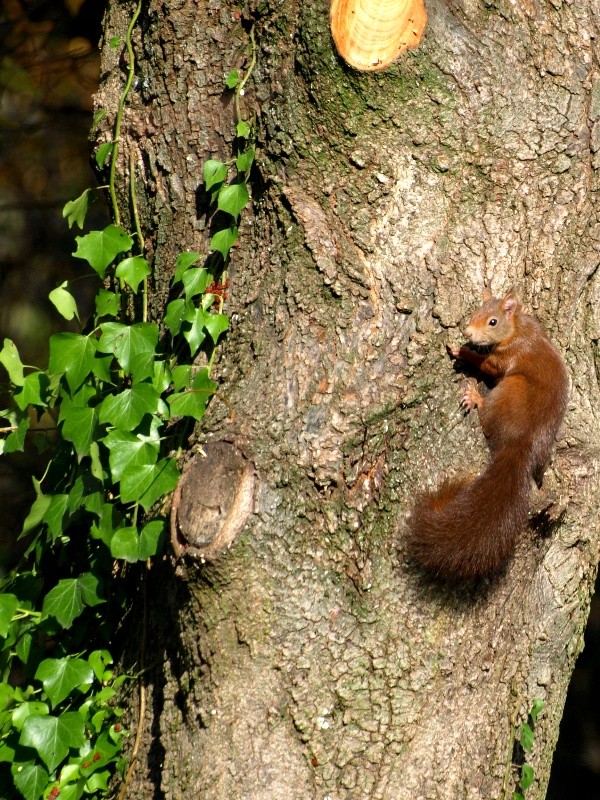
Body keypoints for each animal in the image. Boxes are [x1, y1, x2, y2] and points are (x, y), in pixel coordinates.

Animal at [408, 290, 568, 580]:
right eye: (476, 310)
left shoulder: (505, 357)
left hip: (509, 389)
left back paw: (476, 398)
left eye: (493, 321)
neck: (517, 330)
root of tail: (522, 443)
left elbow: (486, 364)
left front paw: (461, 350)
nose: (468, 332)